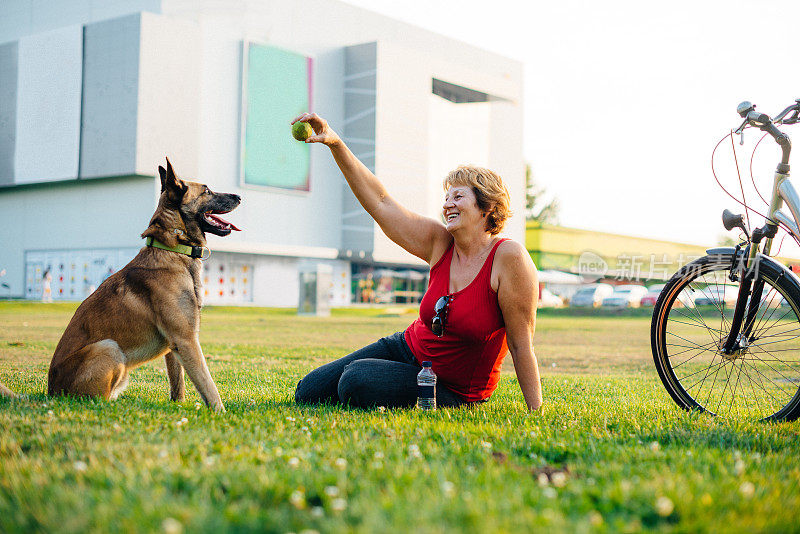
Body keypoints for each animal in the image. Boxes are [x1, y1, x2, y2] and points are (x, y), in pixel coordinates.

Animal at [0, 158, 241, 410]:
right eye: (207, 190)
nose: (239, 196)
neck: (173, 248)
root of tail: (51, 393)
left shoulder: (175, 345)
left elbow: (179, 384)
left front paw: (178, 408)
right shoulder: (186, 340)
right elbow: (208, 385)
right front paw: (221, 413)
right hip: (109, 347)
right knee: (96, 401)